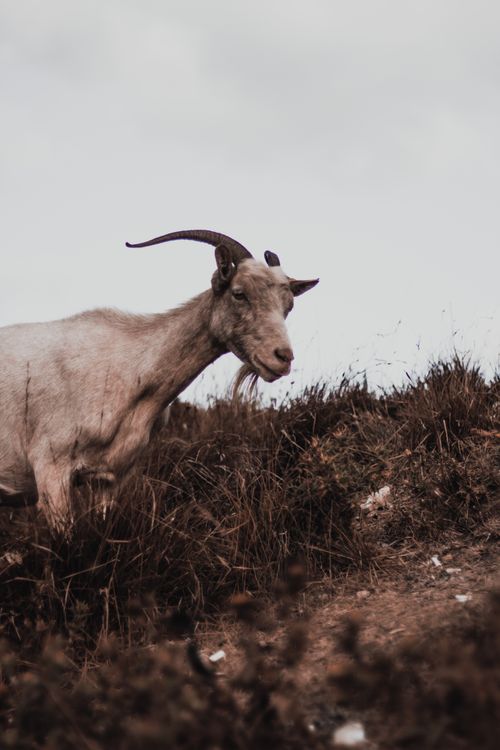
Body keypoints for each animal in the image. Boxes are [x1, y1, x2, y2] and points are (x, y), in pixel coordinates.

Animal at [0, 229, 318, 527]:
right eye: (239, 293)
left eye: (288, 305)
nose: (282, 357)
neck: (129, 370)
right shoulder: (51, 468)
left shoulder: (112, 478)